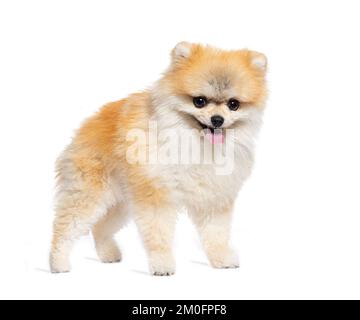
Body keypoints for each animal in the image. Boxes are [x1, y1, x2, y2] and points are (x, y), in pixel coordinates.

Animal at [50, 42, 268, 276]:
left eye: (233, 104)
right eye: (199, 101)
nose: (217, 120)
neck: (193, 141)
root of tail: (83, 128)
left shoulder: (214, 197)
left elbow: (216, 234)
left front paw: (221, 259)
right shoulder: (156, 194)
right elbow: (158, 235)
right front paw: (162, 264)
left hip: (121, 203)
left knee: (100, 228)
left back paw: (108, 254)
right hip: (89, 195)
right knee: (64, 228)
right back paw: (58, 263)